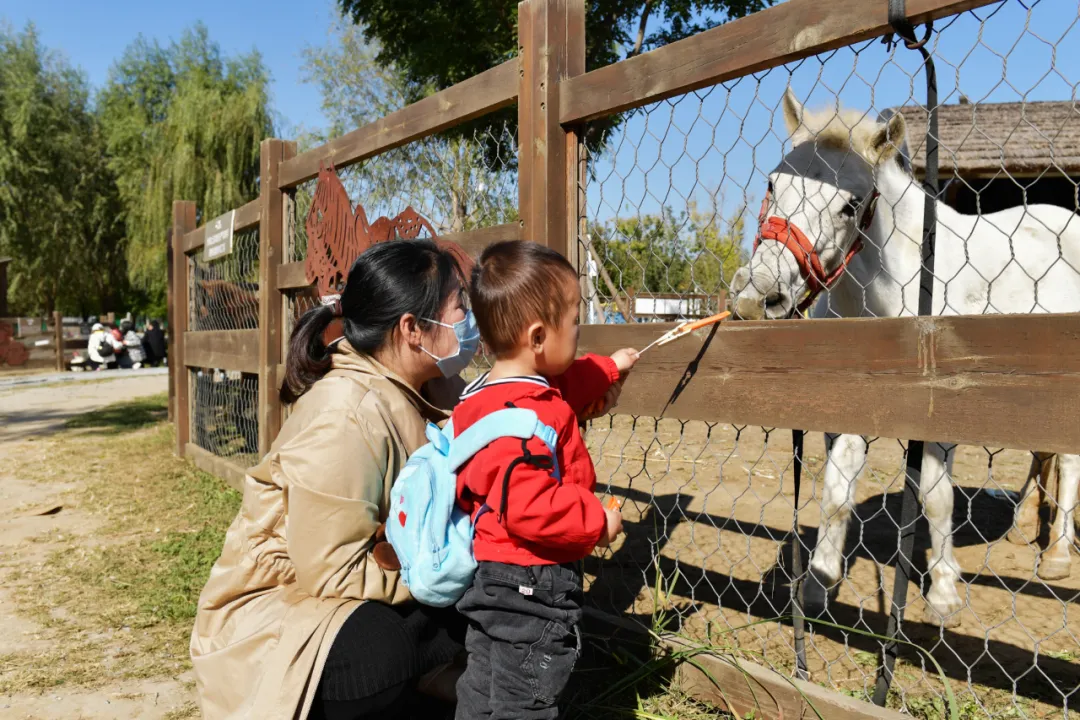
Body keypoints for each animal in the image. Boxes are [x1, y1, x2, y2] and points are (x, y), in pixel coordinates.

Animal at [730, 90, 1080, 626]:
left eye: (850, 205)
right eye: (773, 183)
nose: (759, 297)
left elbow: (936, 498)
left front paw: (944, 590)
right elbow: (836, 494)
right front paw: (818, 584)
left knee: (1068, 463)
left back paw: (1059, 552)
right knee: (1044, 455)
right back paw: (1023, 527)